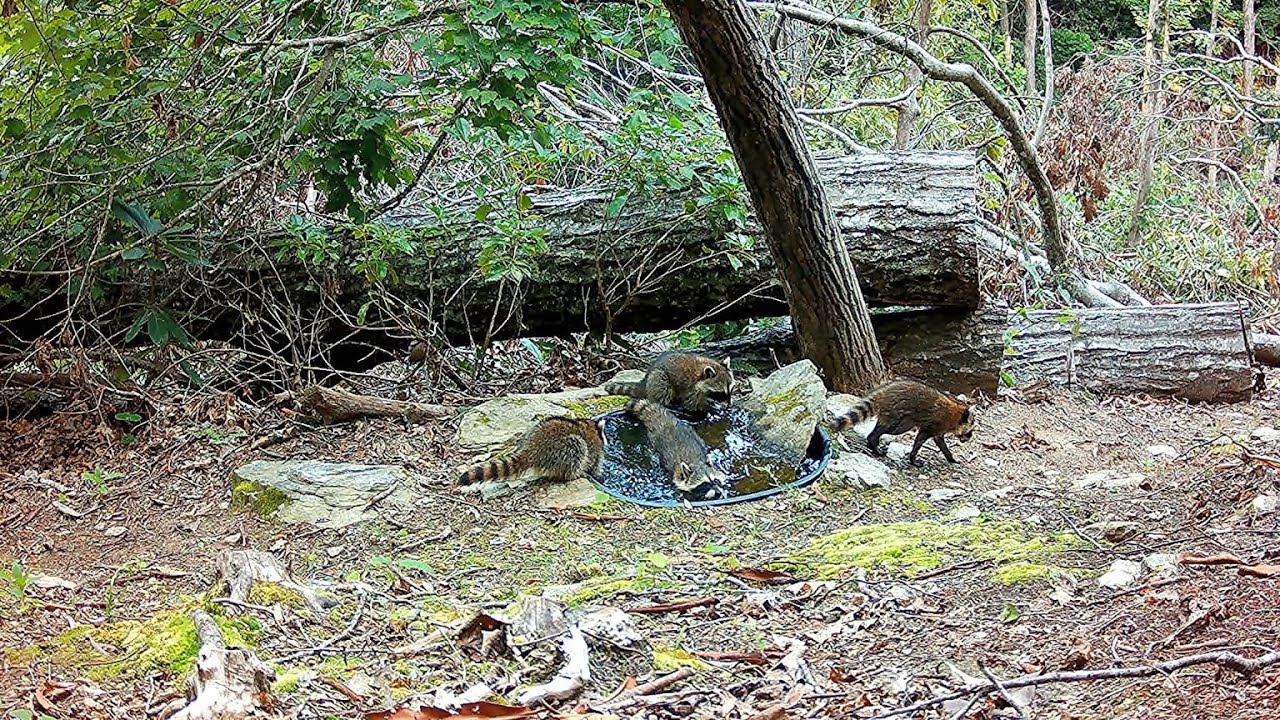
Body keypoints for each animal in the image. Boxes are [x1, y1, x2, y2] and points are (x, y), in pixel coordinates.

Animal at [458, 417, 607, 486]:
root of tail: (533, 449)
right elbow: (594, 464)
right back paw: (574, 474)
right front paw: (597, 475)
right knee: (577, 447)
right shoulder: (595, 450)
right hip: (562, 448)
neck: (592, 427)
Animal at [604, 352, 733, 415]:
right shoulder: (691, 388)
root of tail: (644, 381)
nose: (729, 406)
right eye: (720, 393)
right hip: (659, 377)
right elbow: (691, 405)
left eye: (731, 390)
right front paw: (708, 408)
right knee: (663, 389)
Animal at [829, 379, 975, 465]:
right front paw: (913, 458)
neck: (958, 415)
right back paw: (873, 440)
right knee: (891, 429)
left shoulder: (939, 430)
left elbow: (940, 442)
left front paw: (950, 457)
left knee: (881, 425)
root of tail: (883, 393)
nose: (969, 438)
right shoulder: (935, 424)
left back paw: (872, 443)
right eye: (970, 431)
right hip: (899, 415)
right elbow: (920, 439)